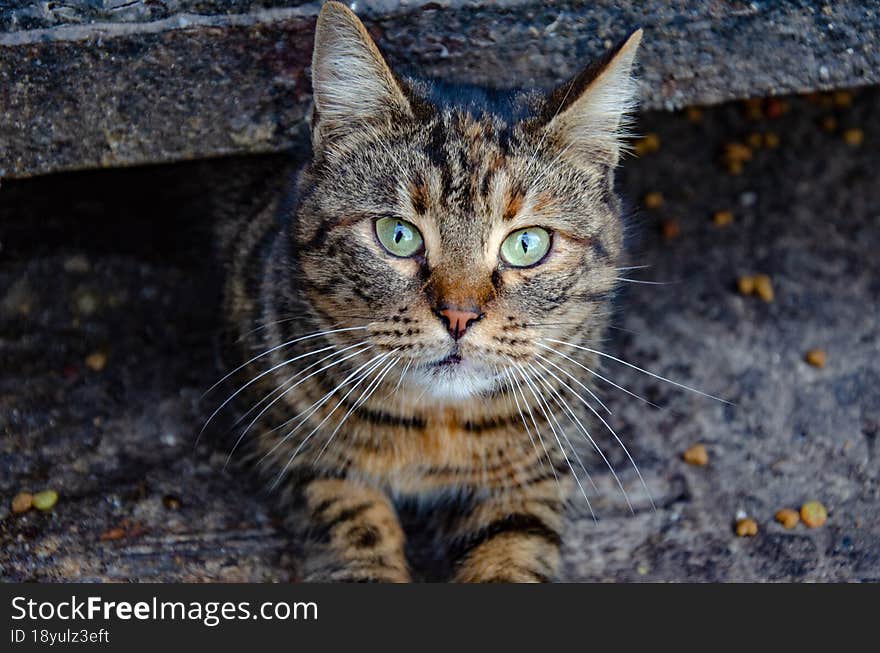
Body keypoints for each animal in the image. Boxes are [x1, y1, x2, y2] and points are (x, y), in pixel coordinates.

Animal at [217, 0, 644, 580]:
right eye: (397, 235)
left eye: (527, 244)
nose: (459, 315)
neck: (435, 428)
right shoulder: (299, 452)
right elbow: (356, 532)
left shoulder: (531, 475)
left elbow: (510, 554)